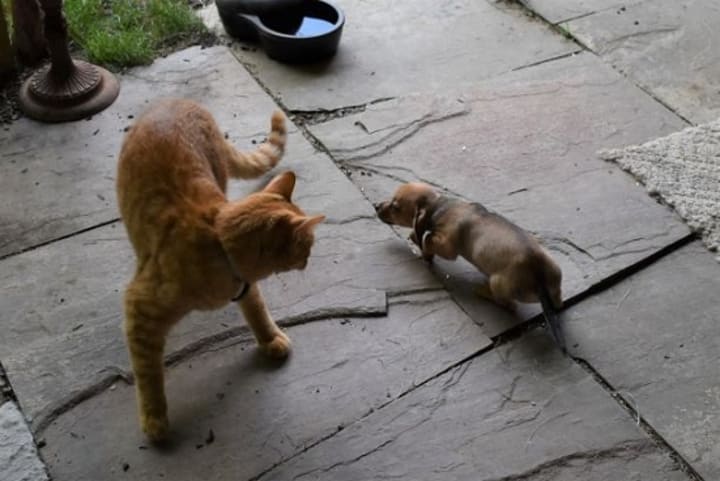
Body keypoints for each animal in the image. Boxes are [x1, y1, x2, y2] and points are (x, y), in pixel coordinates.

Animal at [116, 98, 325, 442]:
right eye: (308, 245)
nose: (309, 261)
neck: (218, 244)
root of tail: (178, 101)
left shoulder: (246, 286)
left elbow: (258, 312)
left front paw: (270, 339)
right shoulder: (140, 308)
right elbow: (148, 373)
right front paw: (154, 417)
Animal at [375, 182, 565, 352]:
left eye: (395, 206)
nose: (376, 206)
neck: (440, 206)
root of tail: (539, 278)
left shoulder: (447, 247)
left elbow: (427, 239)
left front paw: (420, 244)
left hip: (499, 283)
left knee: (508, 303)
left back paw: (483, 291)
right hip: (555, 273)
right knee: (558, 301)